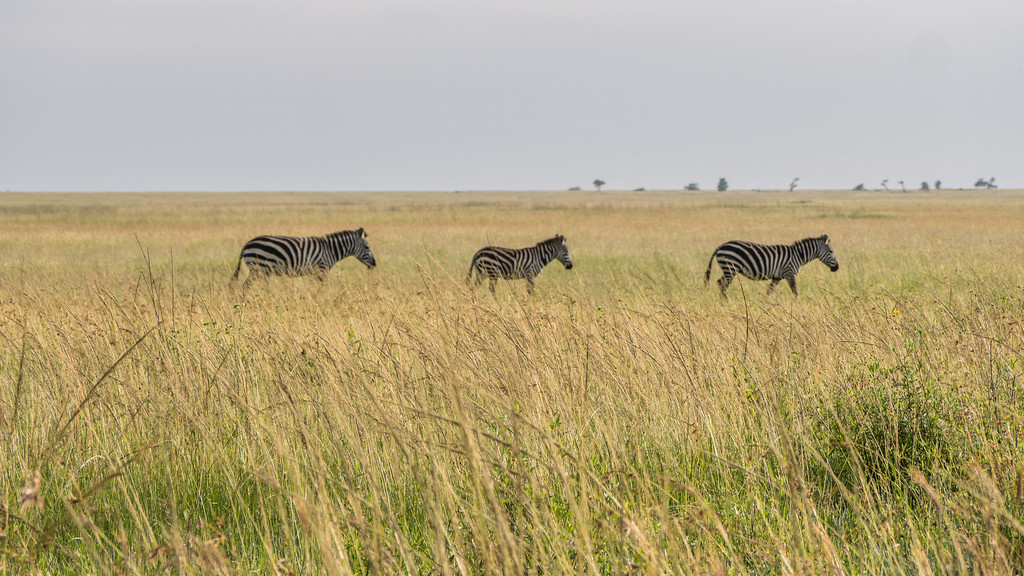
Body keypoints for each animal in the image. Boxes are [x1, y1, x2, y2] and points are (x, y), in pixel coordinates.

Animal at [232, 228, 376, 286]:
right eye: (367, 247)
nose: (374, 264)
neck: (330, 250)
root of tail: (246, 244)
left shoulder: (315, 272)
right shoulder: (321, 270)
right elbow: (319, 289)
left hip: (260, 270)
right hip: (259, 268)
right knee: (246, 286)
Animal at [704, 234, 838, 297]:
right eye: (831, 251)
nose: (837, 267)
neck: (798, 255)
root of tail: (721, 246)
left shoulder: (777, 277)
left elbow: (769, 292)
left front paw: (766, 304)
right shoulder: (790, 273)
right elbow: (795, 292)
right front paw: (798, 305)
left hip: (729, 268)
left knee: (720, 283)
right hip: (730, 268)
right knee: (721, 284)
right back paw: (726, 301)